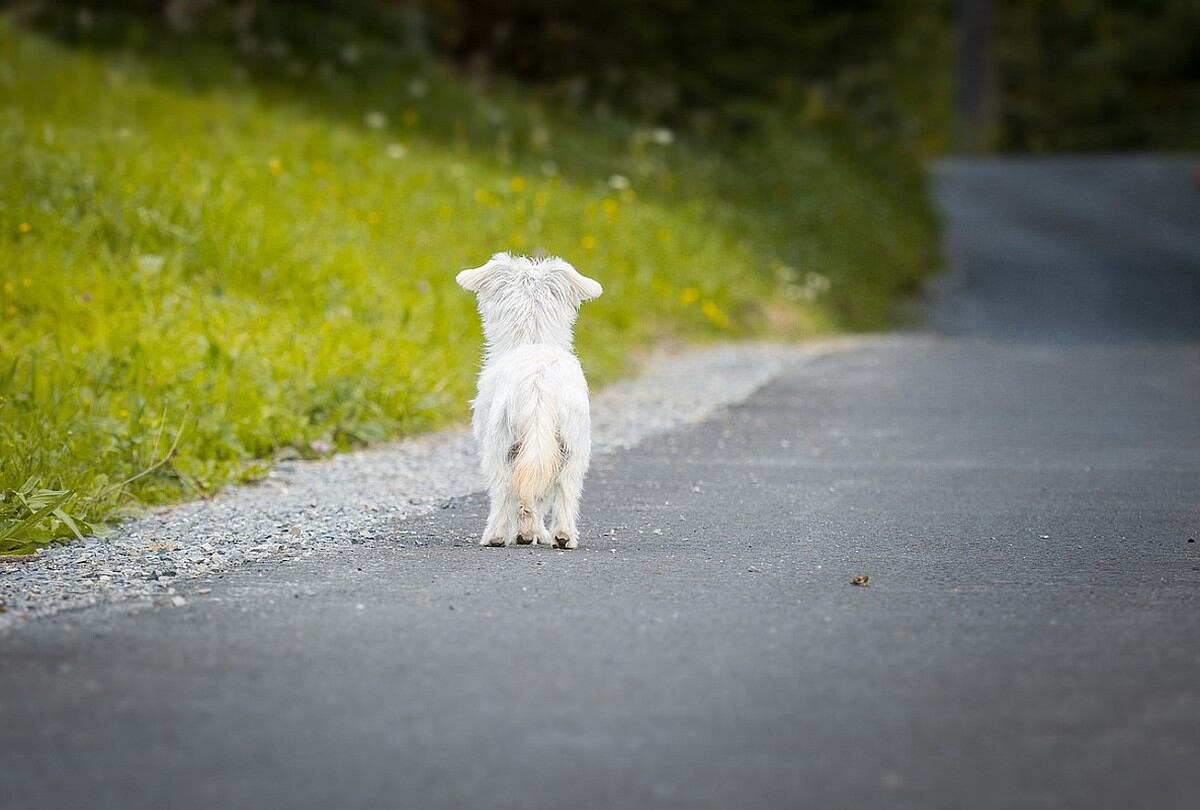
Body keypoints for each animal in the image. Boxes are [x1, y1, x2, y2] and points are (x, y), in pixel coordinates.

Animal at [460, 250, 609, 547]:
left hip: (499, 443)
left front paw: (527, 533)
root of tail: (538, 383)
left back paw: (496, 535)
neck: (532, 337)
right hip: (573, 445)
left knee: (503, 489)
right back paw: (563, 536)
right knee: (564, 489)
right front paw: (534, 533)